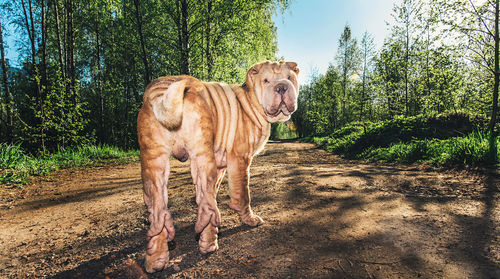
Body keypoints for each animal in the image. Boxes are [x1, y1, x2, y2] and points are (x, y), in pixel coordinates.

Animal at [137, 61, 298, 274]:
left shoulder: (221, 166)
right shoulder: (240, 158)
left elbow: (214, 193)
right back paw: (209, 244)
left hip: (154, 161)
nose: (281, 87)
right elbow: (242, 194)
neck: (251, 100)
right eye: (266, 80)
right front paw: (249, 219)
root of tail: (161, 87)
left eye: (289, 77)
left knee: (160, 211)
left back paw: (157, 259)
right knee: (206, 203)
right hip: (201, 153)